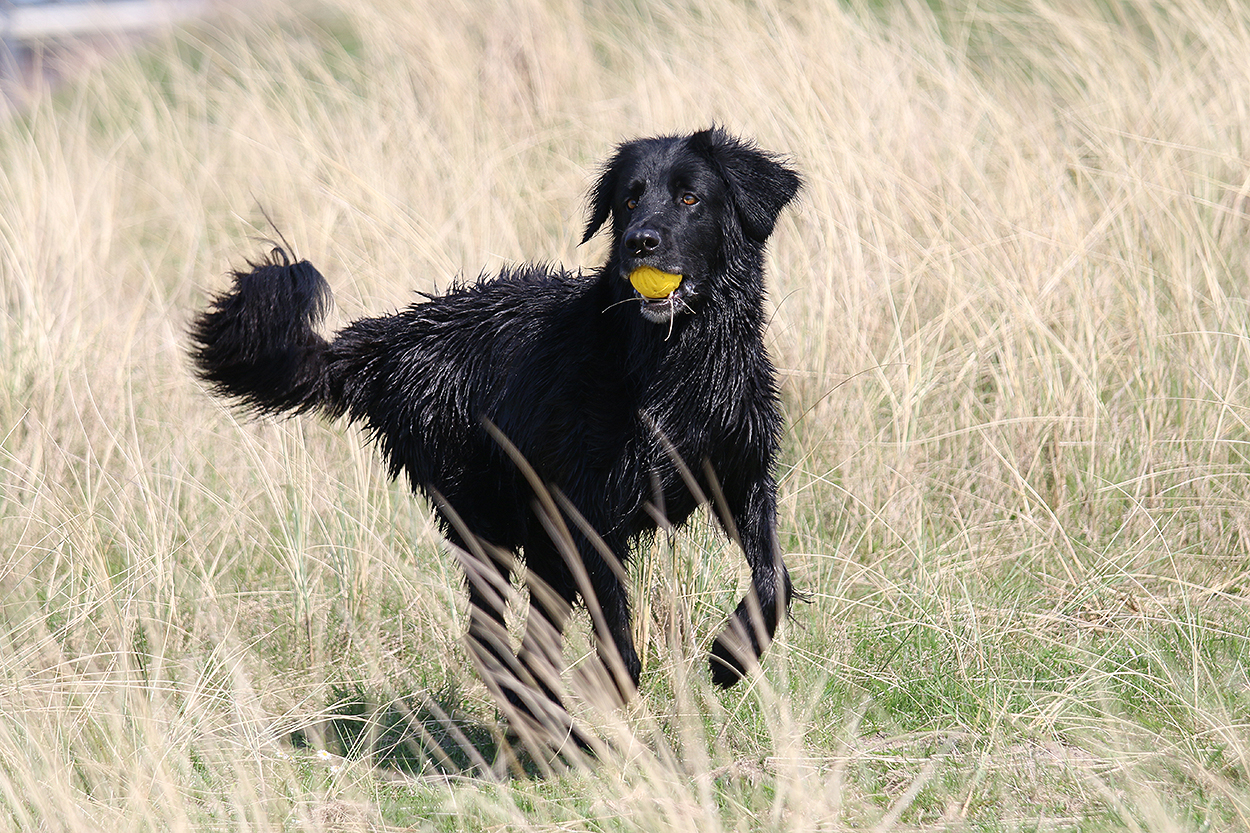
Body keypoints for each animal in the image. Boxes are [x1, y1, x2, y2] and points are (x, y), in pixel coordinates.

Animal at [191, 128, 801, 746]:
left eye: (690, 197)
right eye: (629, 200)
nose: (639, 242)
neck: (680, 365)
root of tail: (393, 338)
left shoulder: (743, 475)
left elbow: (773, 576)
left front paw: (731, 657)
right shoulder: (591, 511)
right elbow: (617, 636)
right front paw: (609, 689)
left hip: (540, 542)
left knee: (528, 649)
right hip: (484, 519)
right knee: (489, 643)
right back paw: (554, 731)